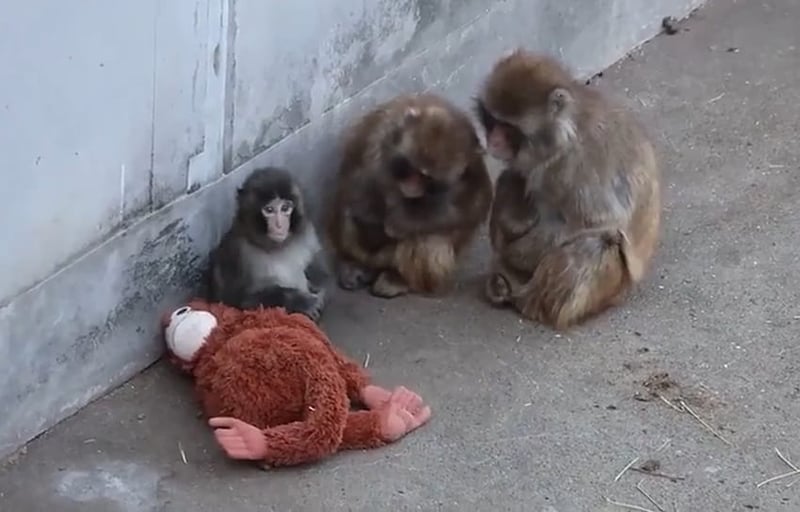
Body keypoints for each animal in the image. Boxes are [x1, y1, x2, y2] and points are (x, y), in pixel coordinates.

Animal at [208, 167, 331, 322]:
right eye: (269, 210)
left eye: (285, 208)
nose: (279, 225)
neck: (275, 246)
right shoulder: (236, 251)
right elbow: (237, 300)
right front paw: (303, 302)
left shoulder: (307, 231)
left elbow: (319, 272)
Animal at [327, 93, 494, 299]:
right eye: (410, 168)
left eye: (426, 177)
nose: (412, 186)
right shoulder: (375, 136)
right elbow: (355, 189)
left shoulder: (472, 161)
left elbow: (475, 202)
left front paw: (400, 222)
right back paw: (354, 264)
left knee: (428, 237)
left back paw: (399, 279)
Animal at [474, 49, 661, 330]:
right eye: (493, 121)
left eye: (508, 128)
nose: (493, 141)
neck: (563, 135)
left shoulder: (577, 164)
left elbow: (598, 221)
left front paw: (513, 255)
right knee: (511, 178)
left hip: (611, 288)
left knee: (595, 245)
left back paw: (529, 302)